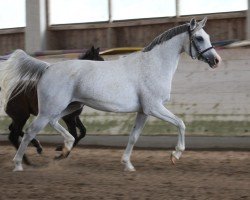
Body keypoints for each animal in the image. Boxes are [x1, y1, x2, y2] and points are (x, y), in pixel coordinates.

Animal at [0, 17, 221, 171]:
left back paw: (64, 148)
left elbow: (133, 137)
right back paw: (19, 164)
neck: (153, 66)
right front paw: (175, 155)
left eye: (208, 37)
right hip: (48, 109)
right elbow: (181, 123)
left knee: (54, 125)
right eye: (199, 38)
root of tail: (47, 68)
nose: (216, 60)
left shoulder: (144, 111)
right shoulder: (155, 107)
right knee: (29, 132)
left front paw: (127, 165)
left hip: (68, 107)